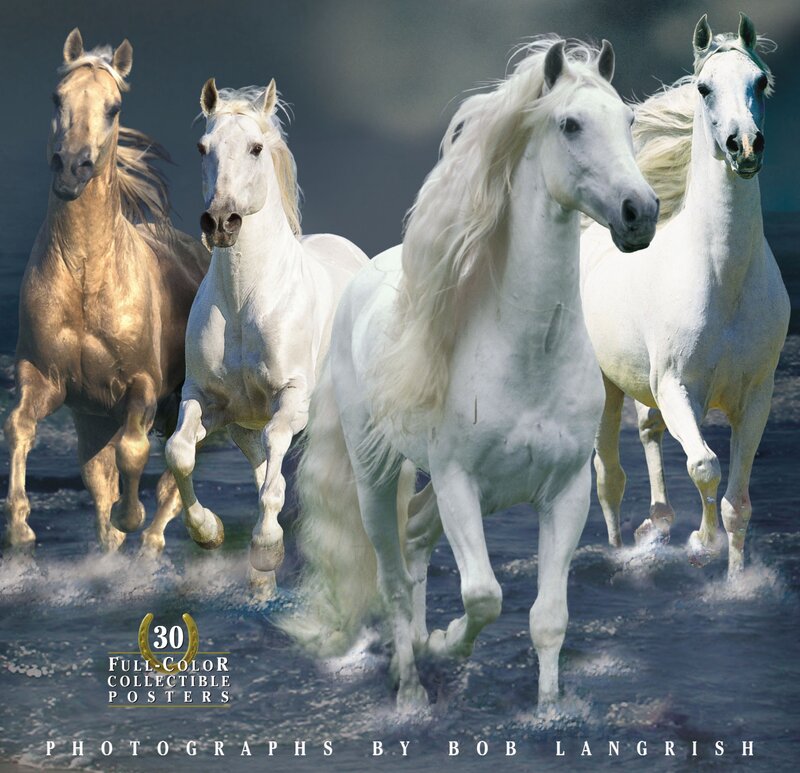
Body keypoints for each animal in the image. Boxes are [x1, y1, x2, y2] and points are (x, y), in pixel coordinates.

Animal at [4, 29, 209, 554]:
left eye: (114, 107)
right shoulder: (46, 378)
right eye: (57, 98)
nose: (72, 167)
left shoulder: (142, 386)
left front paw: (130, 518)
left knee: (170, 480)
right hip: (94, 419)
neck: (84, 278)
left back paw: (153, 540)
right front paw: (20, 526)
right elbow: (20, 428)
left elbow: (134, 453)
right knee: (98, 477)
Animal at [155, 79, 369, 586]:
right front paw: (207, 531)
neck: (243, 302)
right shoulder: (206, 400)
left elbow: (276, 464)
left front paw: (267, 547)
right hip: (242, 426)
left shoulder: (290, 400)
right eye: (203, 147)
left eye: (255, 148)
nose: (220, 222)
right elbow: (179, 452)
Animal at [279, 37, 658, 710]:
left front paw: (547, 710)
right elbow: (483, 595)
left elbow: (547, 618)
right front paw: (446, 643)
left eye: (629, 120)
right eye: (570, 124)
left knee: (415, 540)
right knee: (392, 573)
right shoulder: (460, 482)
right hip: (375, 475)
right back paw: (410, 687)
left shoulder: (565, 492)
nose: (640, 212)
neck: (528, 354)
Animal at [580, 13, 790, 577]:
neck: (724, 283)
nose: (745, 146)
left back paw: (658, 523)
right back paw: (622, 550)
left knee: (649, 434)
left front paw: (733, 578)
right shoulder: (679, 389)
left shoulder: (755, 396)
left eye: (760, 81)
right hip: (605, 387)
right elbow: (704, 466)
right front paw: (703, 543)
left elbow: (738, 503)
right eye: (703, 88)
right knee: (609, 476)